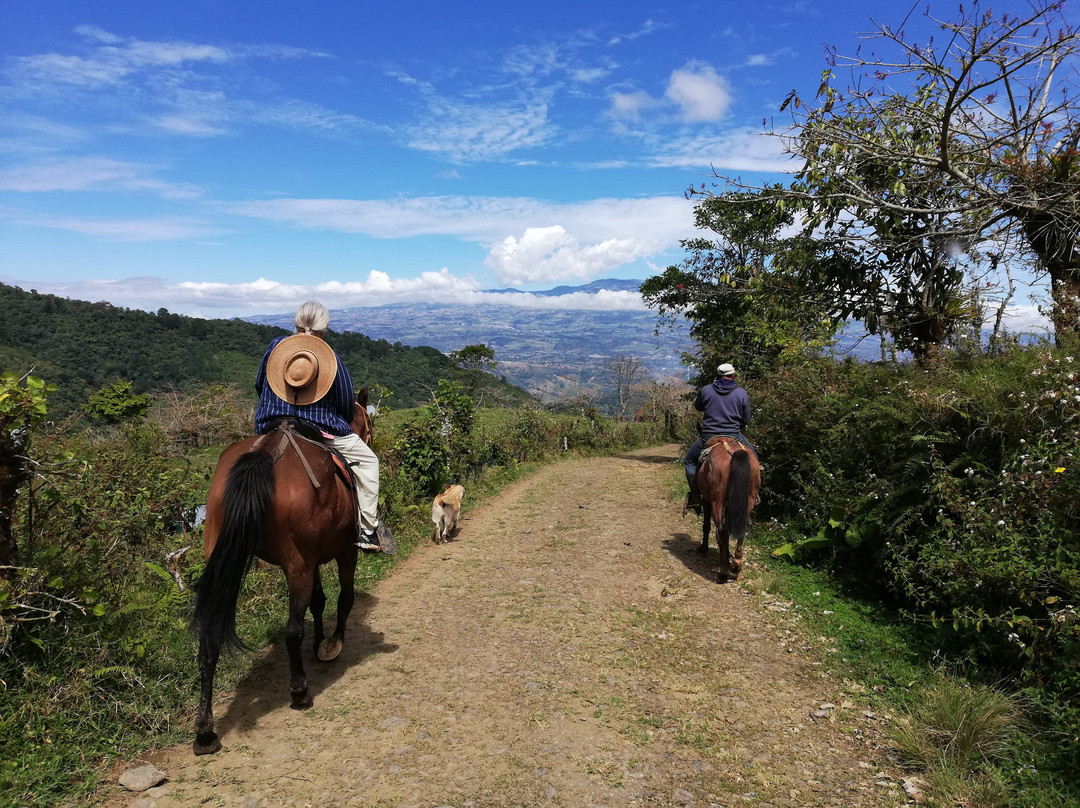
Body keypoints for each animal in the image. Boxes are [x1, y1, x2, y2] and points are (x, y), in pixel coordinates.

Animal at [193, 388, 375, 756]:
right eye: (368, 423)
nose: (369, 438)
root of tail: (264, 454)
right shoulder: (343, 551)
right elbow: (343, 598)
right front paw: (334, 642)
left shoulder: (312, 558)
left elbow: (318, 601)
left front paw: (320, 642)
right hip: (298, 563)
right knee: (292, 629)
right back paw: (300, 690)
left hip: (226, 554)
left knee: (209, 640)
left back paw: (205, 731)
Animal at [695, 438, 764, 583]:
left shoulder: (707, 501)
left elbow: (707, 526)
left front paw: (704, 548)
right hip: (749, 500)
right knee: (741, 528)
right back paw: (736, 565)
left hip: (717, 502)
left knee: (721, 531)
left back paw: (723, 572)